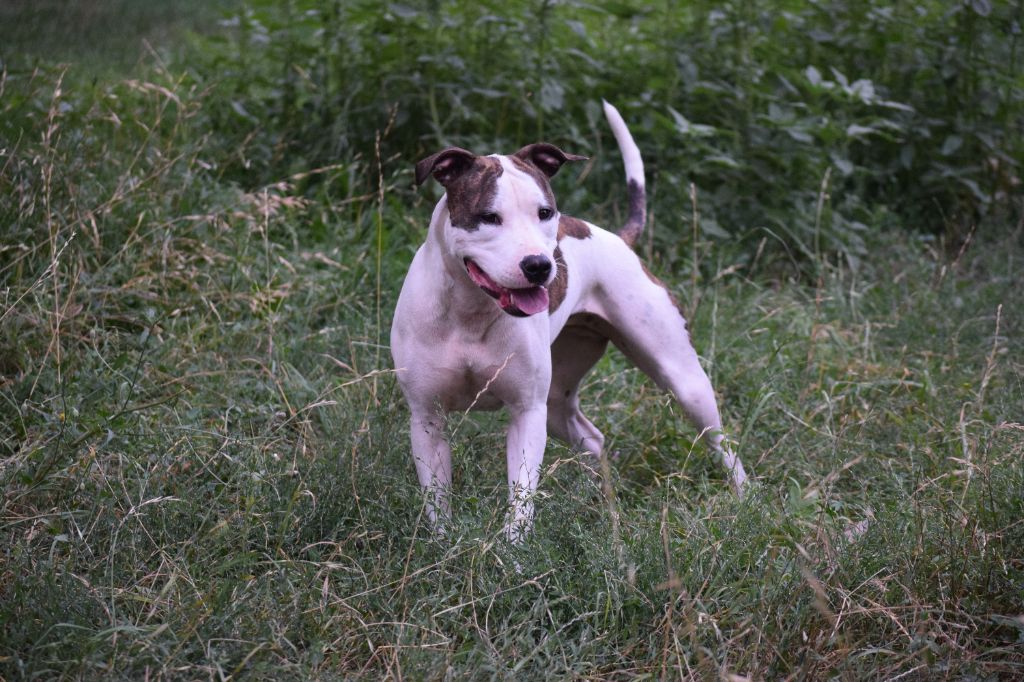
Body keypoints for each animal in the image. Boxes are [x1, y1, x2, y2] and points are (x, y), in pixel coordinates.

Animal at [389, 100, 745, 540]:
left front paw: (512, 551)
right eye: (488, 216)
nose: (539, 266)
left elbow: (521, 496)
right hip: (558, 400)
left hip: (683, 381)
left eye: (545, 212)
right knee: (593, 439)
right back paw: (604, 506)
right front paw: (441, 546)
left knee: (721, 442)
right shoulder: (427, 418)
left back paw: (746, 500)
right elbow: (437, 501)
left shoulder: (528, 412)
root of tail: (618, 238)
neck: (471, 311)